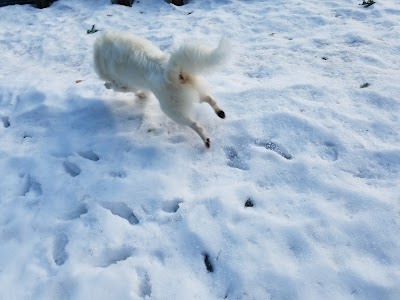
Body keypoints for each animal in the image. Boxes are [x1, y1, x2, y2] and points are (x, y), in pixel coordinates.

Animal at [92, 30, 230, 148]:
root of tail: (172, 73)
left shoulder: (124, 83)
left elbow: (118, 86)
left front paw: (107, 85)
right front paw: (142, 95)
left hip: (173, 111)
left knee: (195, 124)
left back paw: (206, 140)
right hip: (195, 92)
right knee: (209, 98)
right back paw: (220, 113)